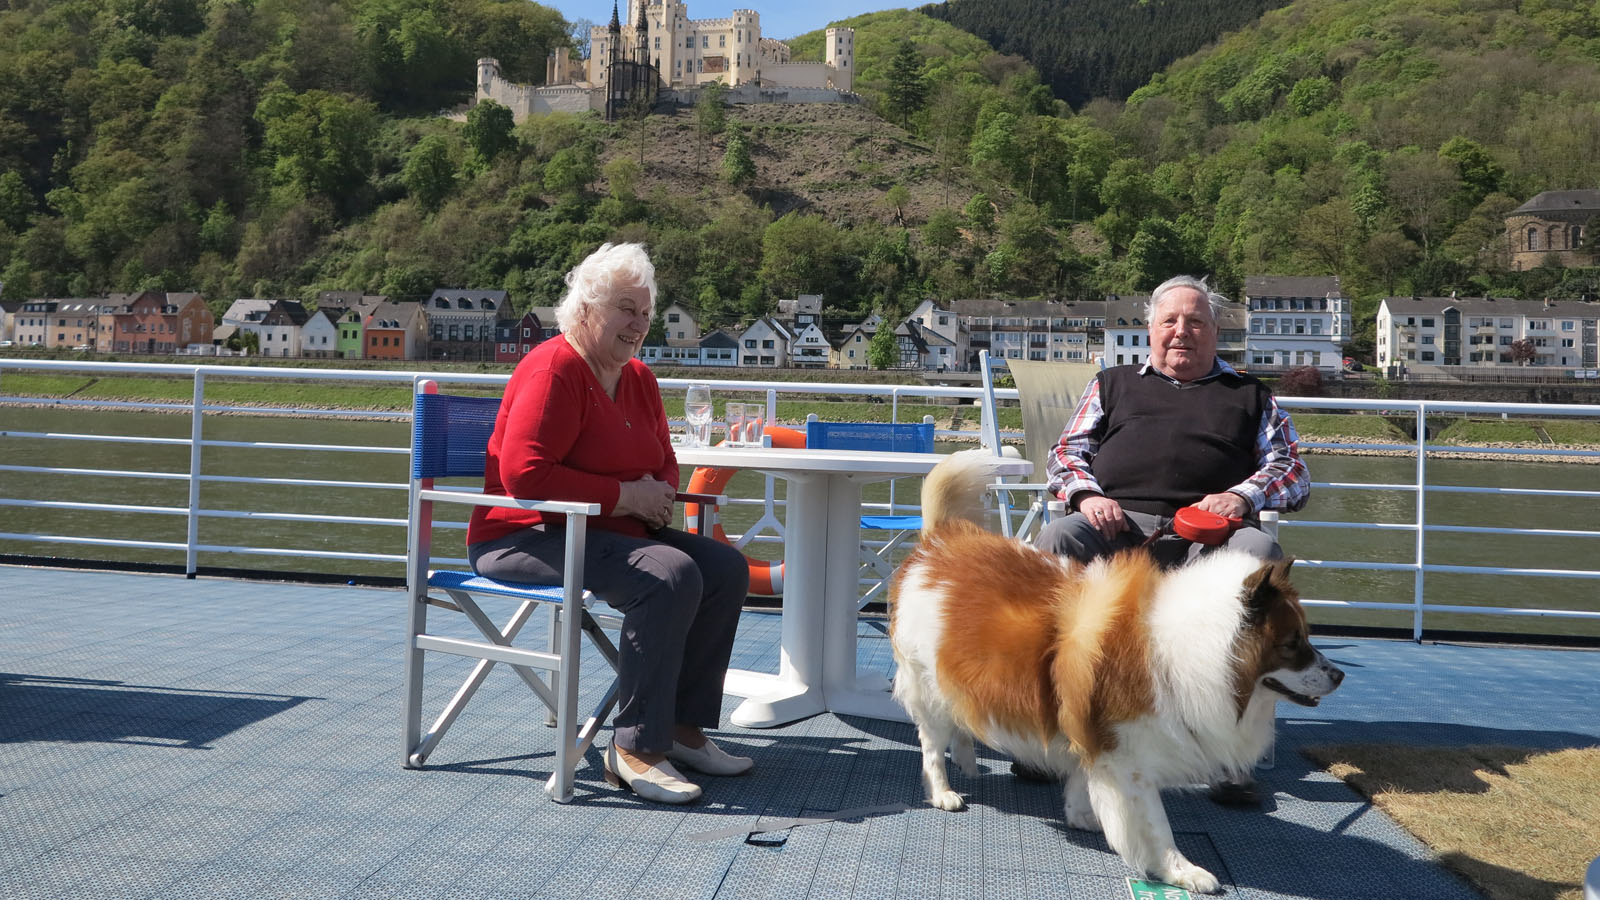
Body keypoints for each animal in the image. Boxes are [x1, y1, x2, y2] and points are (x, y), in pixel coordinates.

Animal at [896, 448, 1344, 890]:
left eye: (1305, 636)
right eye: (1291, 644)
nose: (1338, 676)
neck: (1187, 641)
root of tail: (940, 542)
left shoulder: (1091, 731)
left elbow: (1084, 779)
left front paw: (1083, 817)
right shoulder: (1130, 758)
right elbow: (1156, 825)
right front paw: (1181, 870)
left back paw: (967, 763)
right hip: (927, 687)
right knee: (931, 745)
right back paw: (943, 791)